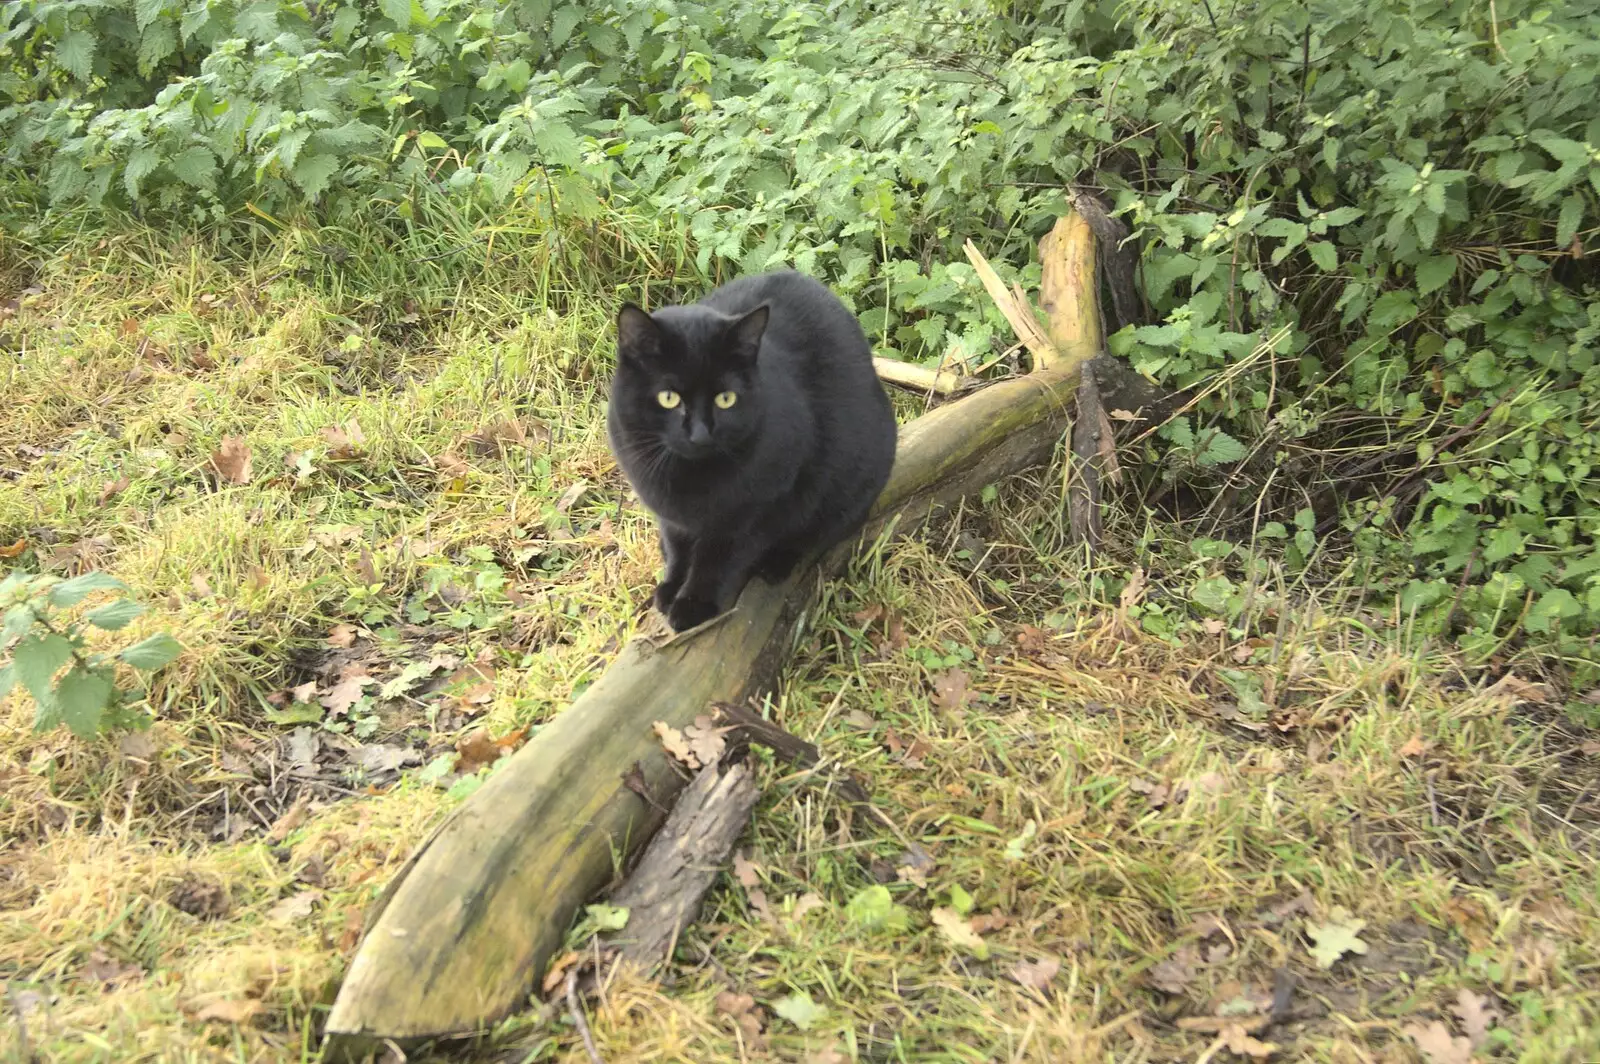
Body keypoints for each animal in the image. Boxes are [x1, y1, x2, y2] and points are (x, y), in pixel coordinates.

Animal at [608, 270, 896, 630]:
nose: (700, 434)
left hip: (853, 486)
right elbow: (678, 548)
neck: (689, 480)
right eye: (669, 397)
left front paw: (693, 603)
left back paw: (775, 564)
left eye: (726, 398)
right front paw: (671, 586)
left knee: (820, 531)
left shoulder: (759, 511)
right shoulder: (671, 516)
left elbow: (718, 560)